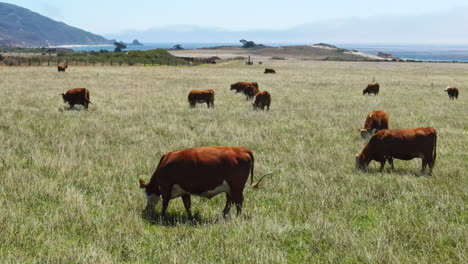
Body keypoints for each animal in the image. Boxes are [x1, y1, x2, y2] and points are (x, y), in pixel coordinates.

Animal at [138, 145, 270, 218]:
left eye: (147, 192)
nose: (147, 209)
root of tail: (242, 149)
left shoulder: (166, 188)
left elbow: (165, 204)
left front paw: (162, 217)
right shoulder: (184, 191)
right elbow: (187, 205)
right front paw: (190, 218)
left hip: (236, 186)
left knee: (238, 202)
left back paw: (237, 217)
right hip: (230, 188)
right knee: (230, 201)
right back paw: (224, 215)